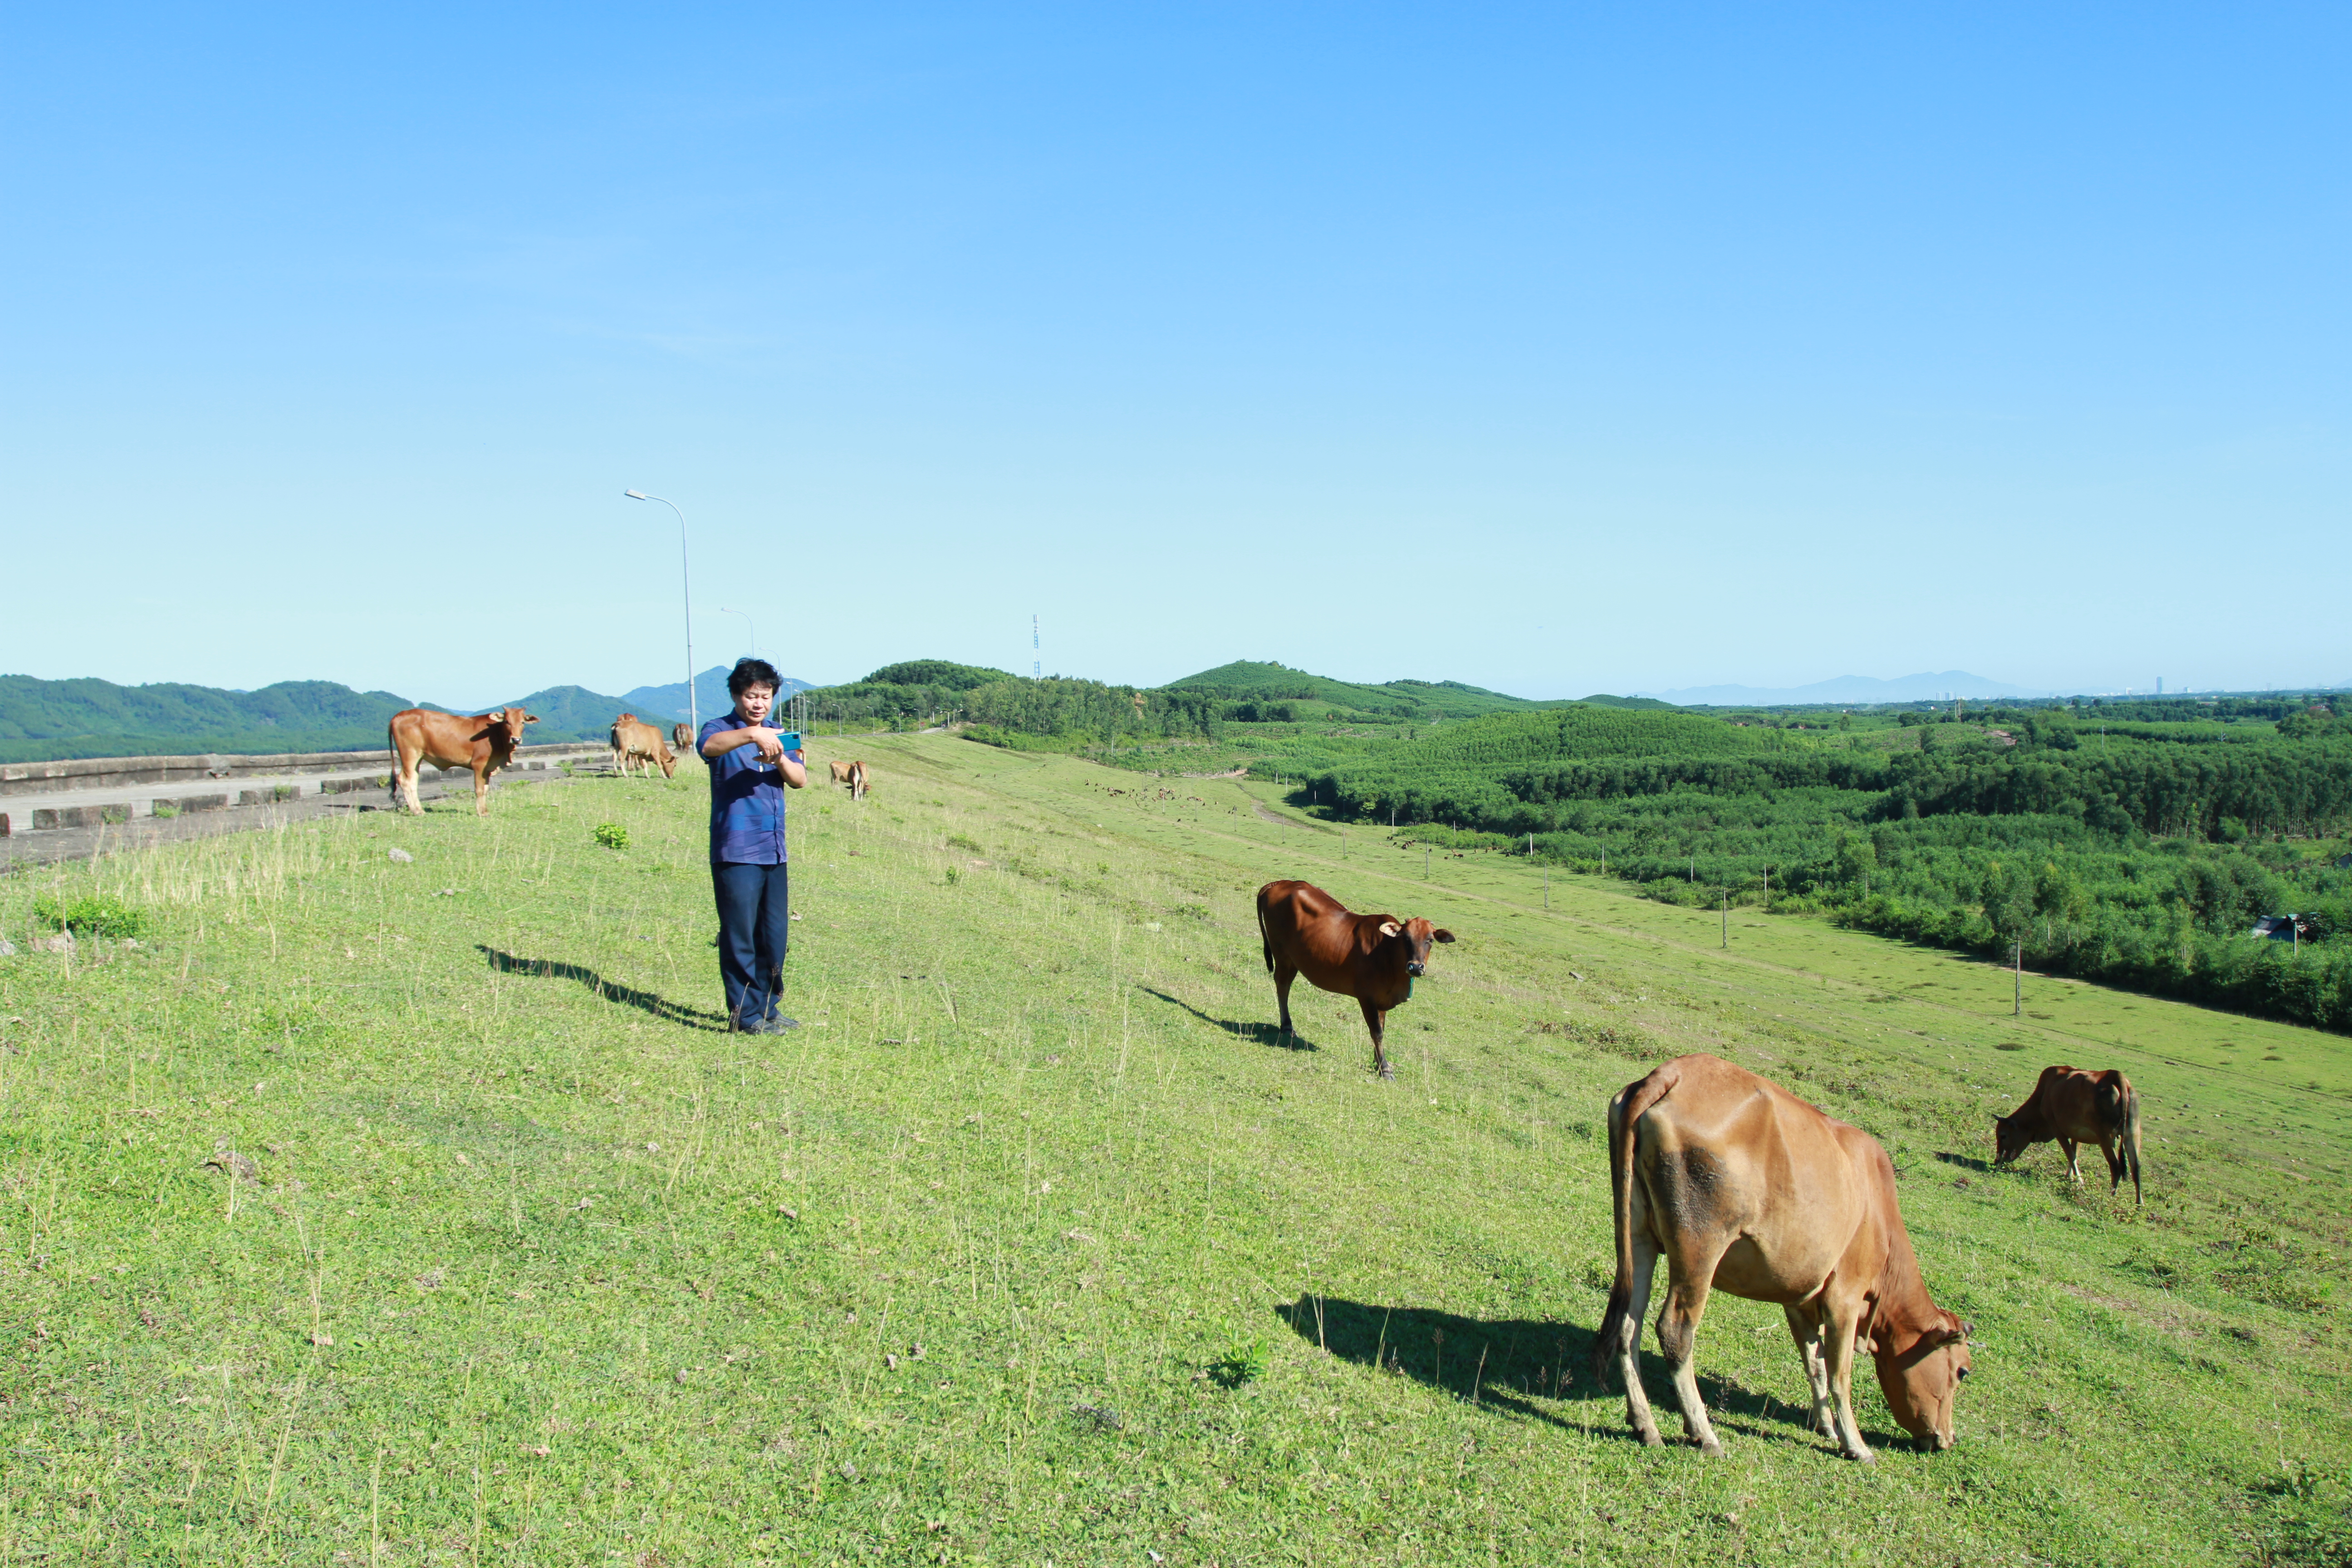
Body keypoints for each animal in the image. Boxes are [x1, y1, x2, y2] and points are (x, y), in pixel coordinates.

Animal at [390, 705, 539, 818]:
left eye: (523, 722)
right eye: (507, 721)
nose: (516, 739)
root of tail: (399, 715)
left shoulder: (487, 769)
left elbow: (486, 789)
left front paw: (485, 811)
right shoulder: (479, 764)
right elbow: (479, 789)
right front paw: (480, 813)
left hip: (418, 757)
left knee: (414, 780)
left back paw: (418, 809)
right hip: (410, 754)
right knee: (405, 780)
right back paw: (417, 811)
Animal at [607, 715, 682, 780]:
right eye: (675, 765)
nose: (671, 776)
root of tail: (619, 724)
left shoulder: (642, 754)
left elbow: (645, 765)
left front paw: (647, 776)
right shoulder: (655, 752)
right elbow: (659, 765)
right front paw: (664, 777)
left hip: (616, 746)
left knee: (614, 756)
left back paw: (616, 774)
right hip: (625, 746)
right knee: (621, 758)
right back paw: (625, 775)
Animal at [1251, 879, 1449, 1086]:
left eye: (1431, 940)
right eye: (1405, 938)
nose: (1416, 967)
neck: (1388, 953)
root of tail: (1283, 882)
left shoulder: (1382, 998)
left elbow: (1381, 1029)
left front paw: (1378, 1061)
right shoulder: (1366, 996)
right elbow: (1377, 1032)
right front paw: (1385, 1069)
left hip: (1293, 959)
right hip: (1282, 953)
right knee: (1282, 986)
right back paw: (1287, 1026)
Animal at [1599, 1053, 1966, 1457]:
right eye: (1962, 1371)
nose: (1948, 1438)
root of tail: (1672, 1073)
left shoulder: (1799, 1298)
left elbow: (1815, 1364)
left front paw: (1827, 1427)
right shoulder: (1846, 1294)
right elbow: (1840, 1373)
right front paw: (1856, 1445)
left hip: (1639, 1236)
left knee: (1627, 1326)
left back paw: (1645, 1425)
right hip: (1700, 1244)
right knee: (1675, 1330)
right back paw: (1704, 1433)